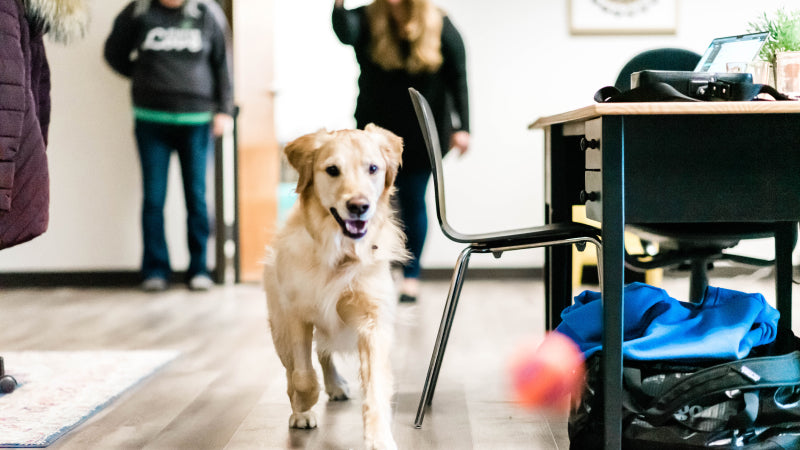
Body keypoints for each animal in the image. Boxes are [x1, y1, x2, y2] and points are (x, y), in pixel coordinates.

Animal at [266, 124, 410, 450]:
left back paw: (335, 384)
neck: (340, 252)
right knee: (296, 365)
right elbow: (302, 375)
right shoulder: (296, 315)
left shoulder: (372, 321)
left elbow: (375, 387)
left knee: (323, 353)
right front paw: (303, 406)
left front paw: (379, 437)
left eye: (373, 168)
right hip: (278, 324)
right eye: (332, 170)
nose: (358, 206)